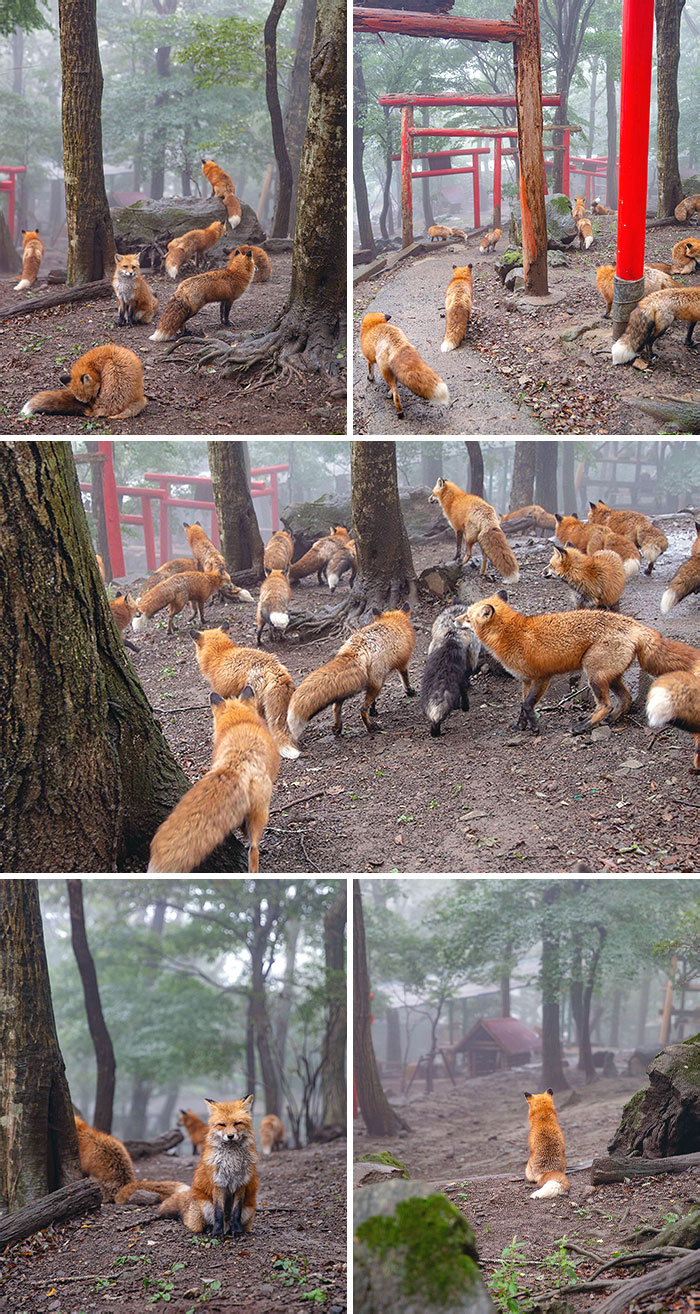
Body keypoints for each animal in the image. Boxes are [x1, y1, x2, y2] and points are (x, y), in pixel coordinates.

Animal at [159, 1096, 258, 1237]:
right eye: (222, 1125)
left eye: (237, 1123)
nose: (230, 1136)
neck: (231, 1162)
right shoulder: (218, 1184)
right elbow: (219, 1212)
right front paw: (217, 1232)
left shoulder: (241, 1184)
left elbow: (236, 1212)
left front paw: (237, 1231)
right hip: (204, 1206)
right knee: (195, 1223)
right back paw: (210, 1229)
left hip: (248, 1209)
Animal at [287, 606, 416, 742]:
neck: (394, 622)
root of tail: (356, 649)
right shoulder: (403, 663)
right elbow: (405, 679)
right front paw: (410, 692)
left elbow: (374, 702)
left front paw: (374, 711)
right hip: (377, 683)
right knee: (361, 709)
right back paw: (370, 727)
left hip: (352, 685)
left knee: (336, 706)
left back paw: (337, 727)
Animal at [456, 590, 700, 735]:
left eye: (467, 616)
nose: (455, 620)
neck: (511, 633)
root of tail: (634, 624)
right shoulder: (525, 680)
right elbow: (523, 706)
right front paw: (521, 725)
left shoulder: (542, 677)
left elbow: (528, 705)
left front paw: (534, 727)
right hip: (609, 676)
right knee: (626, 698)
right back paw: (611, 720)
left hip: (594, 675)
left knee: (606, 704)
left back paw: (584, 726)